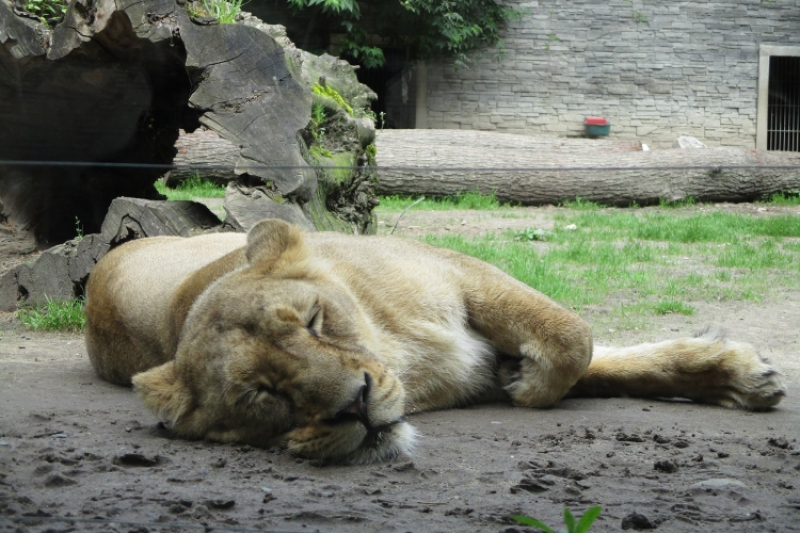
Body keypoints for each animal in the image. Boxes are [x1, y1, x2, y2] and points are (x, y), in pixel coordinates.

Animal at [84, 218, 784, 464]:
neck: (404, 357)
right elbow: (590, 356)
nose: (357, 404)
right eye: (261, 395)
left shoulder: (462, 271)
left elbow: (576, 337)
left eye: (313, 321)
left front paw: (739, 374)